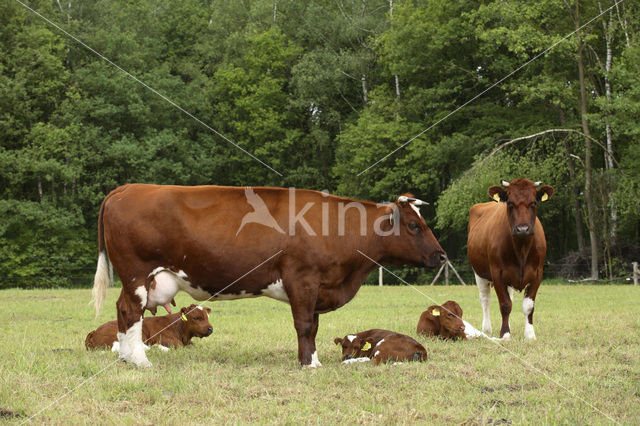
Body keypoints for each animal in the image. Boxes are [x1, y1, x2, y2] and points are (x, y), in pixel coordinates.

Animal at [92, 185, 444, 368]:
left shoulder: (316, 286)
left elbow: (313, 326)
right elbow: (305, 325)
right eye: (414, 225)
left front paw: (307, 359)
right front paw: (311, 364)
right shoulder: (302, 279)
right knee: (131, 312)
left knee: (122, 309)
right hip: (137, 273)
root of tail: (126, 188)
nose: (442, 255)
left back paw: (125, 357)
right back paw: (140, 360)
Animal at [468, 178, 552, 342]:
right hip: (479, 273)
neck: (522, 249)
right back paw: (486, 329)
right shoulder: (497, 273)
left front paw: (530, 334)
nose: (523, 229)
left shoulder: (538, 273)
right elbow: (505, 305)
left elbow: (528, 306)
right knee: (485, 299)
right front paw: (505, 334)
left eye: (534, 203)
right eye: (510, 203)